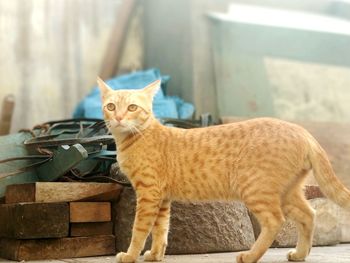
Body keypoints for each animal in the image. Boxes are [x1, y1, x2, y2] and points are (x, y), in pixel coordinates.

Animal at [97, 79, 350, 263]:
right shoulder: (162, 199)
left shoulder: (149, 194)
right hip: (287, 193)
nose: (118, 118)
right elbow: (161, 230)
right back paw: (299, 254)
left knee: (274, 220)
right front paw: (155, 255)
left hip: (256, 190)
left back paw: (250, 256)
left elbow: (139, 230)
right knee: (309, 214)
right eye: (111, 106)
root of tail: (302, 130)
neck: (135, 138)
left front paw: (130, 255)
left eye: (132, 107)